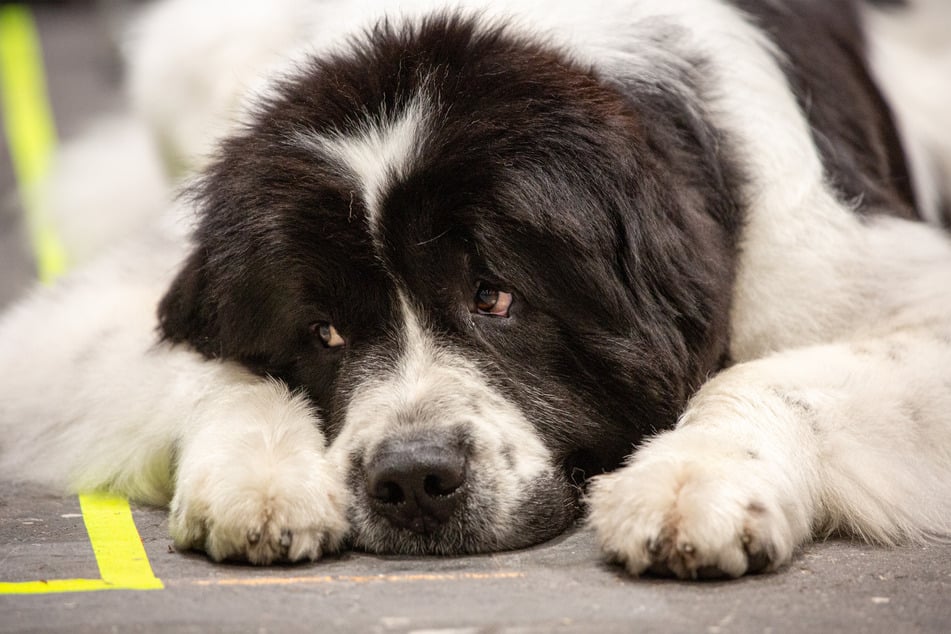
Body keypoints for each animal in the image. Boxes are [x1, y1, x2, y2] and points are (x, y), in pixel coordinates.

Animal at [1, 0, 951, 576]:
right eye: (323, 332)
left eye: (495, 297)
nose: (414, 479)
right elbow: (203, 365)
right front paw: (258, 475)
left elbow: (767, 374)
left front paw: (692, 483)